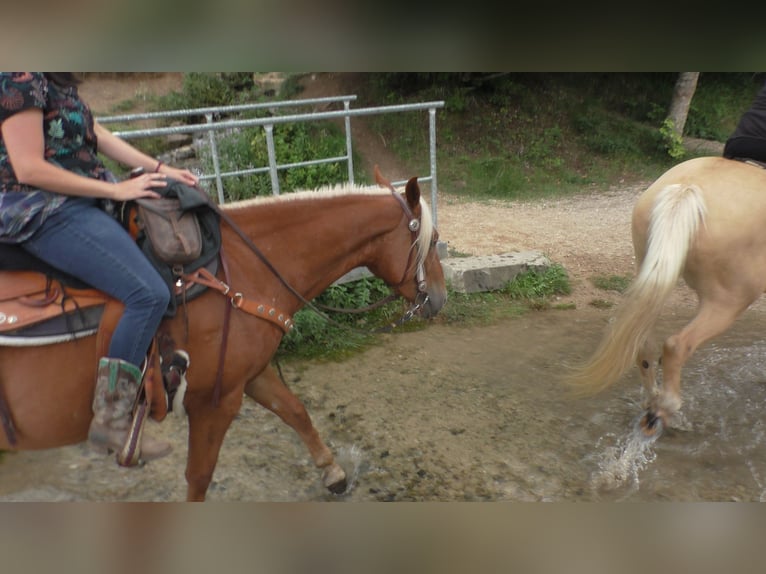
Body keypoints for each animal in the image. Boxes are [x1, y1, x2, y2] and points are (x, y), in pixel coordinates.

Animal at [0, 174, 447, 501]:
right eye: (432, 239)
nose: (440, 298)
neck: (245, 267)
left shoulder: (248, 376)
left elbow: (295, 411)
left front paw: (333, 474)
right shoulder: (214, 401)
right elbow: (199, 476)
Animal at [567, 155, 766, 436]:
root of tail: (686, 189)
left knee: (642, 343)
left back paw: (652, 401)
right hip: (728, 301)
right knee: (676, 346)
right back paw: (665, 408)